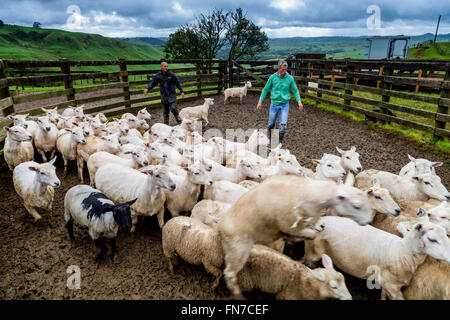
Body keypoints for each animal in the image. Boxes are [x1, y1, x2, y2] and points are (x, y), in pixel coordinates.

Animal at [216, 175, 370, 298]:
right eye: (356, 206)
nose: (367, 222)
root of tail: (221, 225)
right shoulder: (288, 223)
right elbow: (310, 235)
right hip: (239, 250)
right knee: (229, 273)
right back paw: (238, 295)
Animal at [300, 215, 450, 300]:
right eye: (432, 239)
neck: (402, 251)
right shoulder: (393, 287)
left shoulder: (386, 283)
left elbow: (383, 294)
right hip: (313, 251)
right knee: (306, 261)